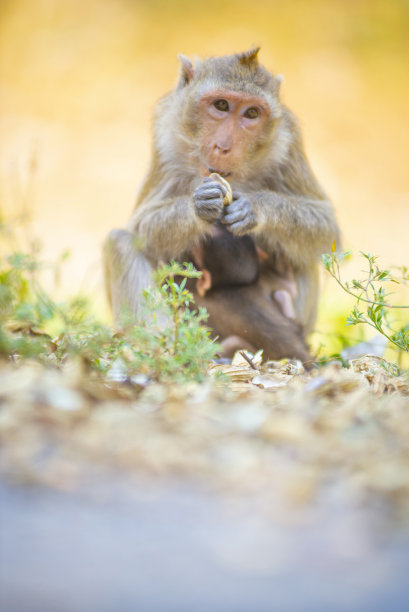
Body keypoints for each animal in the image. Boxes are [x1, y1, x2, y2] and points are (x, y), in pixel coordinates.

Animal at [103, 51, 340, 358]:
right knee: (121, 242)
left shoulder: (289, 139)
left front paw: (255, 209)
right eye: (221, 105)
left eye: (251, 113)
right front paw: (200, 208)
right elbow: (141, 227)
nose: (225, 147)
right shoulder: (164, 133)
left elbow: (326, 229)